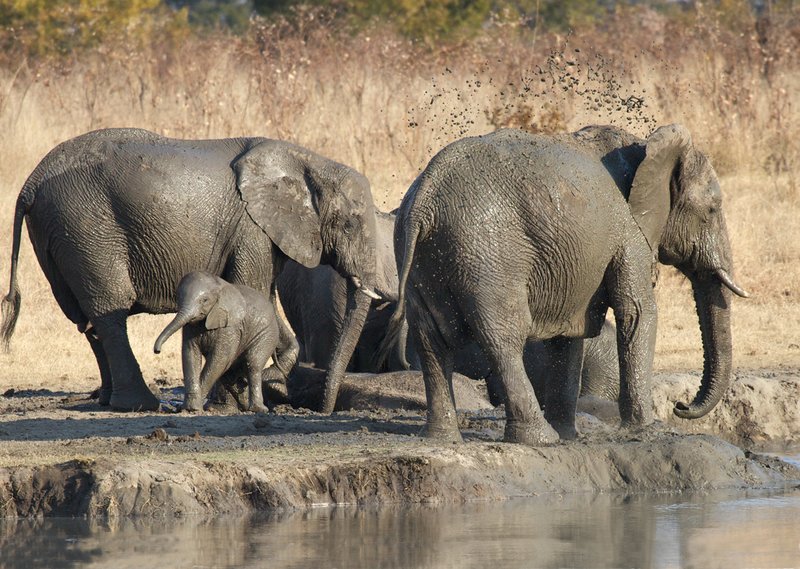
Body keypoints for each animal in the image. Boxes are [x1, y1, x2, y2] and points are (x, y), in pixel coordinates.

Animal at [153, 271, 278, 413]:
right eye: (178, 298)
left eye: (204, 300)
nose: (157, 351)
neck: (218, 286)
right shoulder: (191, 326)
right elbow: (190, 354)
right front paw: (188, 408)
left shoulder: (229, 327)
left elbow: (219, 359)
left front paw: (193, 408)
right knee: (230, 373)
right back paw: (232, 406)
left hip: (267, 334)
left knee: (253, 364)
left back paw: (259, 409)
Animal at [380, 124, 748, 446]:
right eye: (712, 209)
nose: (681, 406)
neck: (646, 146)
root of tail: (425, 198)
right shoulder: (629, 232)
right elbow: (637, 312)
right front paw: (647, 431)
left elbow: (569, 334)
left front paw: (571, 435)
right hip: (487, 255)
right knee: (503, 338)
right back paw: (539, 439)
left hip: (420, 256)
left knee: (430, 339)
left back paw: (443, 438)